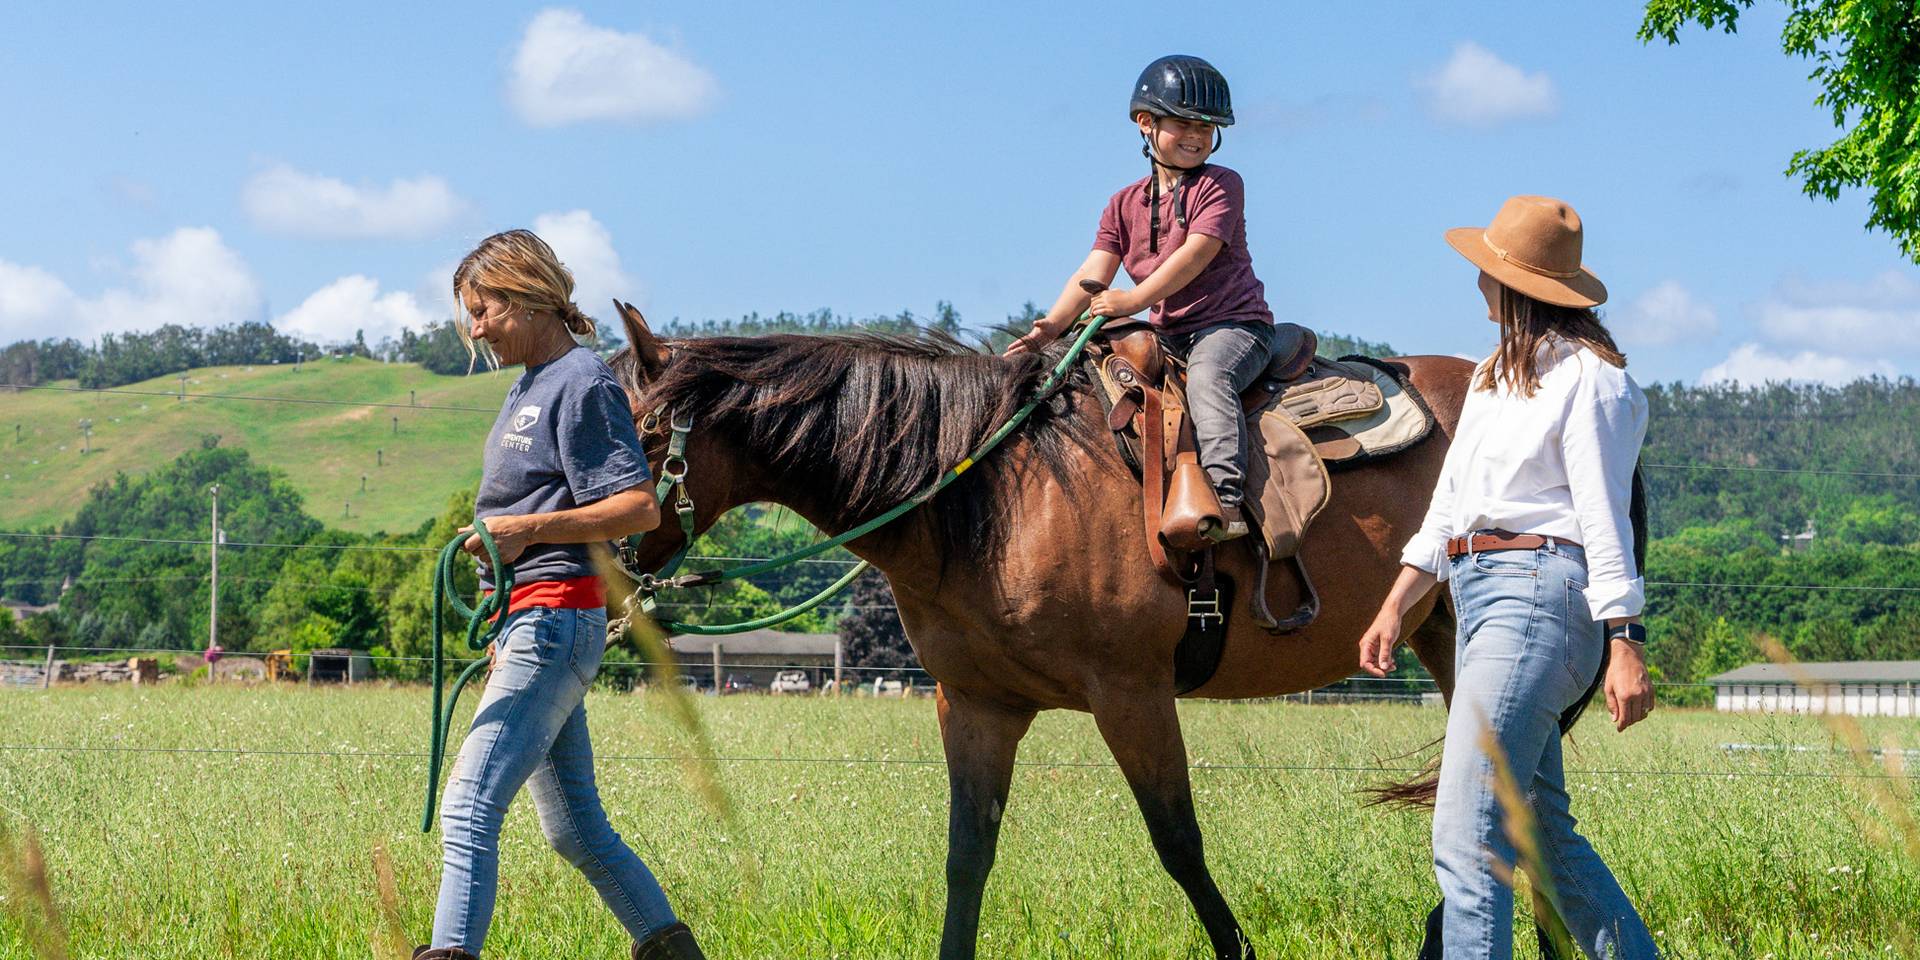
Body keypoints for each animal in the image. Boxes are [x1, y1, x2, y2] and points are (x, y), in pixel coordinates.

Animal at [606, 305, 1473, 960]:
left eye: (637, 438)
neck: (996, 491)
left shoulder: (1132, 695)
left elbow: (1178, 842)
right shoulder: (976, 705)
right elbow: (967, 857)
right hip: (1443, 637)